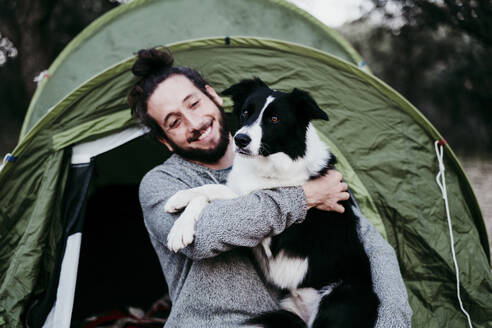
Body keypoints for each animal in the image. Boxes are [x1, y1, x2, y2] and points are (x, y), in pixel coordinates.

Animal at [163, 78, 378, 326]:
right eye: (246, 112)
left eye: (274, 119)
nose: (240, 140)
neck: (270, 163)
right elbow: (210, 190)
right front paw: (179, 202)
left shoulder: (274, 231)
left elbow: (215, 193)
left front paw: (179, 231)